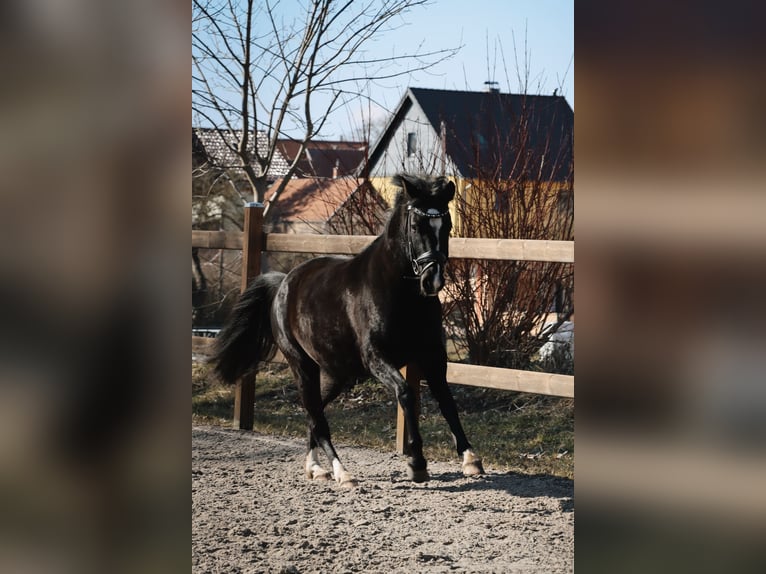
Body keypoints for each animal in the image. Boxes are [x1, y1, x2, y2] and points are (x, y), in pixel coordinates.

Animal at [213, 173, 484, 488]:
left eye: (447, 225)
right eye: (416, 225)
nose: (433, 281)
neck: (401, 293)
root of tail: (284, 283)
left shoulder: (432, 356)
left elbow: (446, 399)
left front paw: (471, 459)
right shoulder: (377, 358)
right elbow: (406, 394)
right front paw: (417, 462)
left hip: (338, 374)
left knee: (314, 413)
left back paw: (316, 468)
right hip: (302, 365)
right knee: (316, 416)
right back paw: (341, 472)